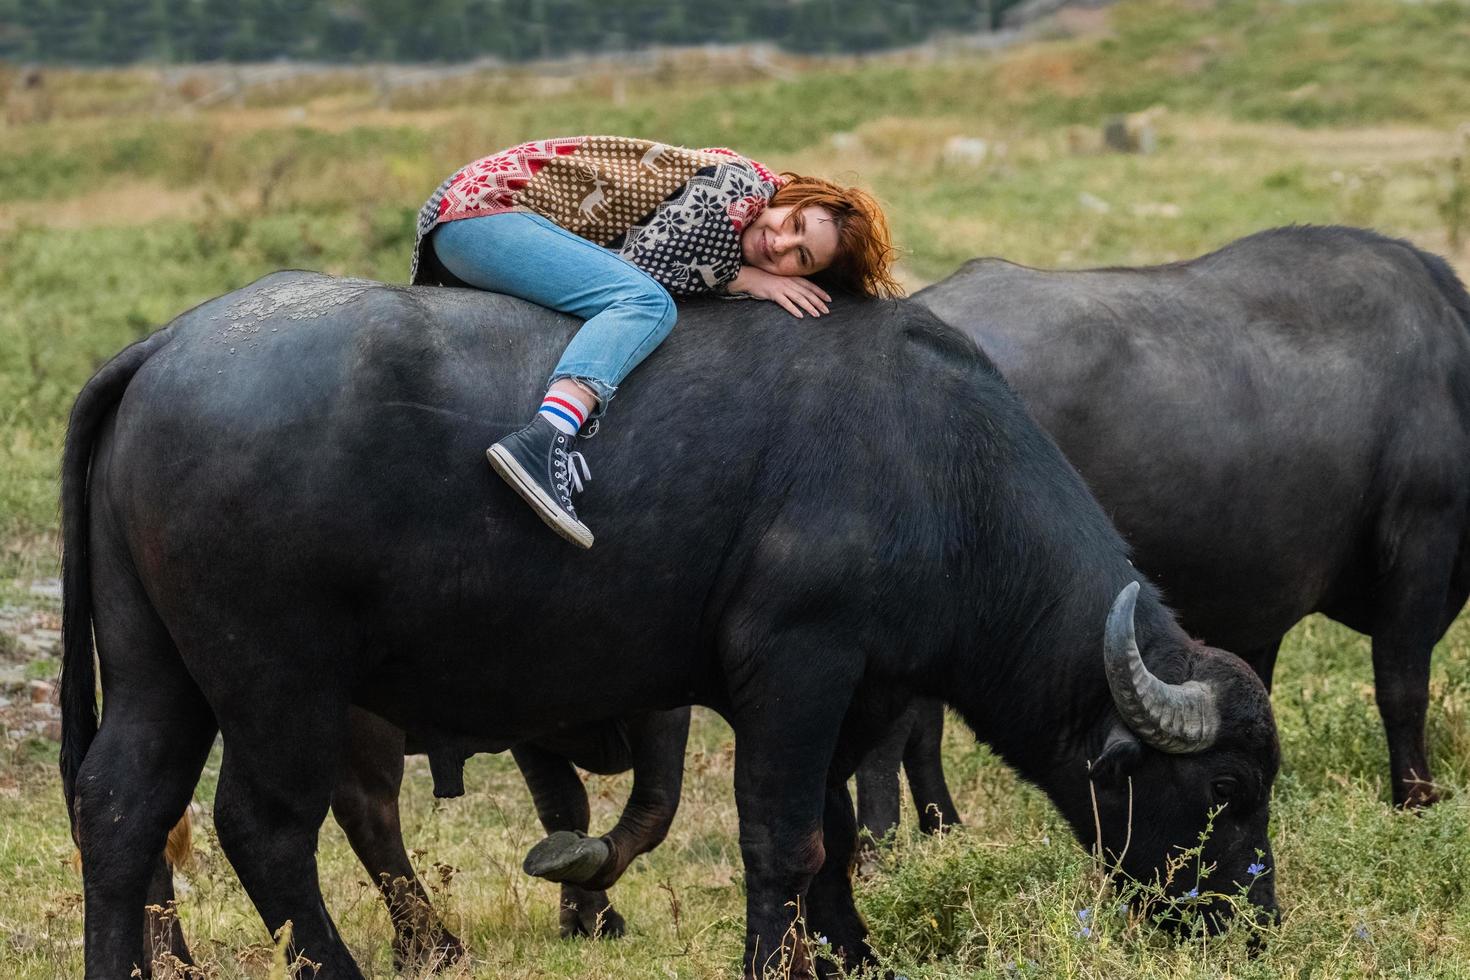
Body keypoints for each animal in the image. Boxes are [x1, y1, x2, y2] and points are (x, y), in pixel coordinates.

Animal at [60, 277, 1275, 980]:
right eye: (1223, 787)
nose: (1251, 922)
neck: (934, 463)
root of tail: (164, 349)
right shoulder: (796, 664)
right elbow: (782, 834)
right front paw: (778, 961)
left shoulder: (858, 693)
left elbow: (834, 830)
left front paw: (852, 955)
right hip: (280, 681)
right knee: (263, 827)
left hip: (158, 667)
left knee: (120, 807)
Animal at [905, 226, 1470, 811]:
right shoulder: (1422, 545)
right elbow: (1402, 687)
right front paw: (1416, 797)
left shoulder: (1263, 599)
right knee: (916, 728)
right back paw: (937, 825)